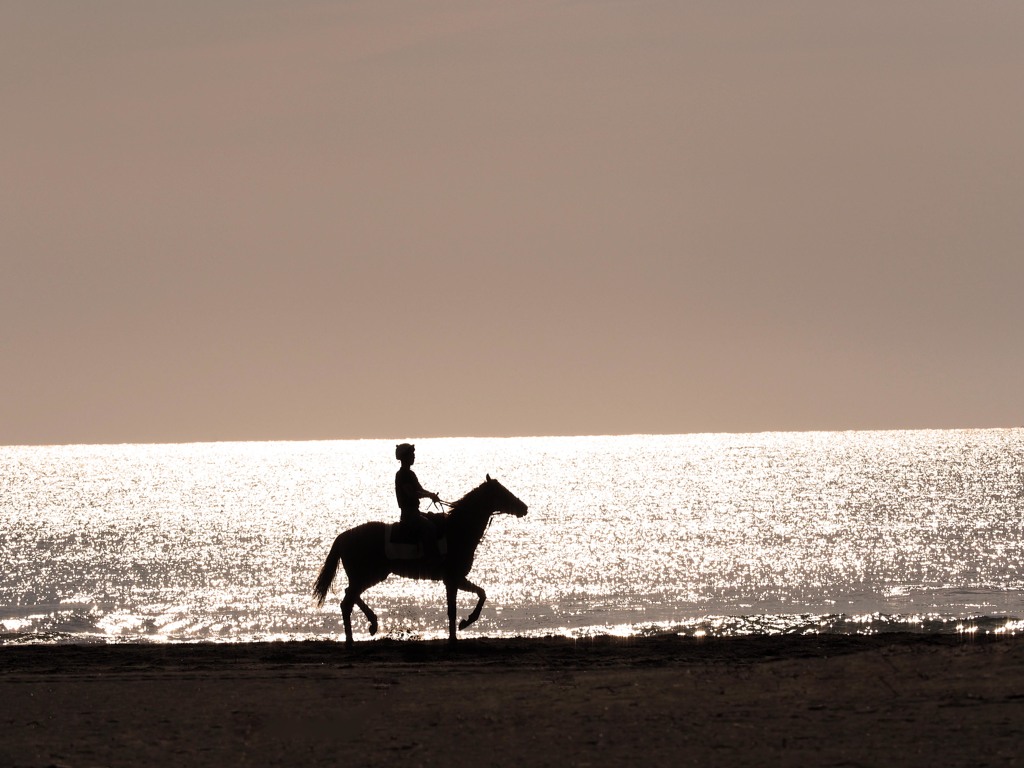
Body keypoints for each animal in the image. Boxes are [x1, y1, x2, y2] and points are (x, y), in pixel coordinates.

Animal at [311, 475, 528, 643]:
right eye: (502, 492)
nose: (524, 508)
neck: (457, 530)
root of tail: (344, 536)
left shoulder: (456, 579)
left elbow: (480, 595)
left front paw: (464, 623)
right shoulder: (452, 579)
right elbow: (456, 608)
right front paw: (458, 631)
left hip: (368, 576)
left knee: (350, 596)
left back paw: (371, 624)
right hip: (368, 575)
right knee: (347, 601)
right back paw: (356, 635)